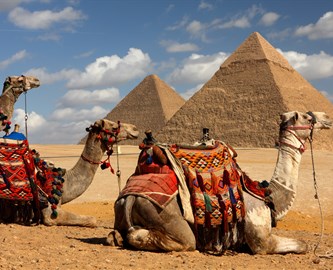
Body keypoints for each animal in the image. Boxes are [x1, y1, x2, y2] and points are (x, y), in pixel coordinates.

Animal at [107, 110, 330, 254]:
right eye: (307, 117)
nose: (327, 117)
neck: (267, 193)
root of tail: (130, 197)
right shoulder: (261, 239)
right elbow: (303, 245)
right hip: (166, 217)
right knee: (179, 241)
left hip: (120, 211)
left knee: (116, 235)